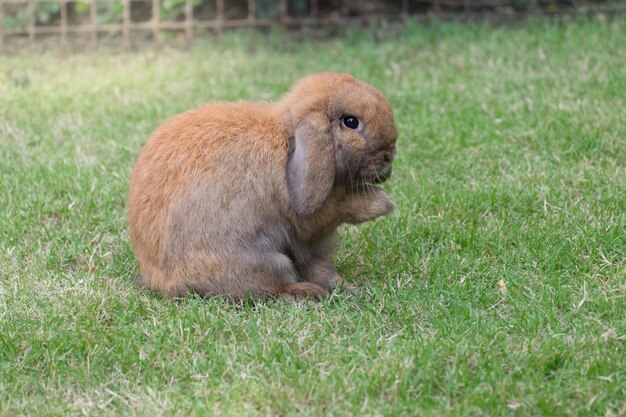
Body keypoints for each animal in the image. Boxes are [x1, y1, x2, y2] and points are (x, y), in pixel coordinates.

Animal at [128, 72, 394, 300]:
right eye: (351, 122)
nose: (389, 157)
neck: (289, 139)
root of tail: (160, 281)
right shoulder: (309, 223)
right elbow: (333, 213)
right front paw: (384, 203)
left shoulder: (315, 246)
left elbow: (321, 267)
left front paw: (348, 287)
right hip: (266, 261)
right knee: (271, 288)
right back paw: (306, 294)